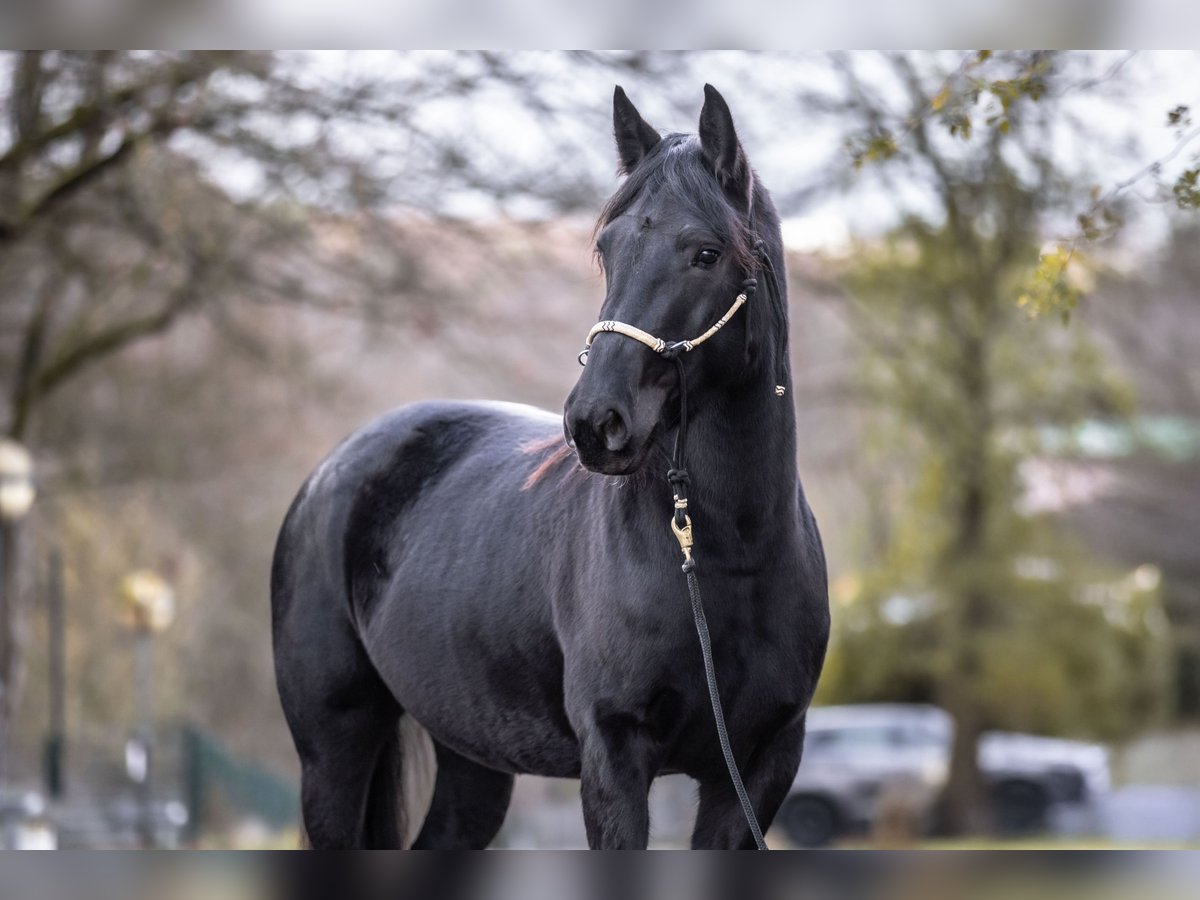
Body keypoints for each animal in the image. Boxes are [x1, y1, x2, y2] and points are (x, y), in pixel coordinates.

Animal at [273, 81, 830, 849]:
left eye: (706, 252)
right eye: (606, 247)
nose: (596, 422)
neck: (728, 554)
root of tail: (332, 472)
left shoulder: (759, 767)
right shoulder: (614, 757)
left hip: (472, 757)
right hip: (333, 747)